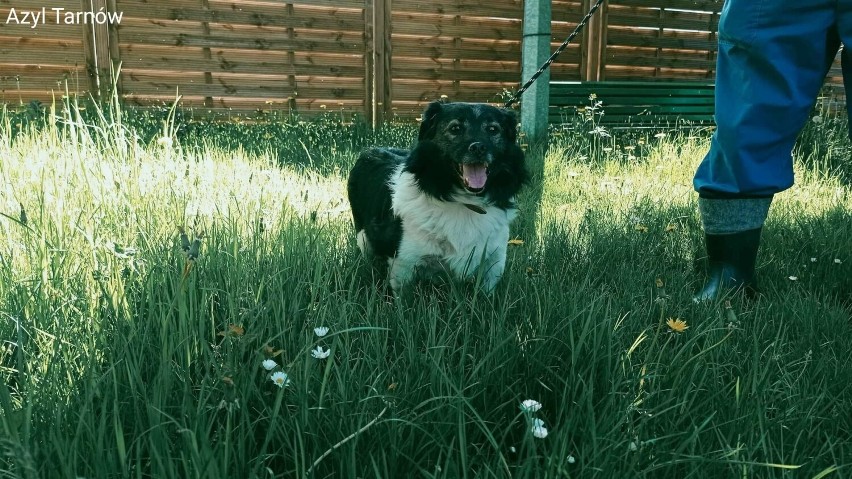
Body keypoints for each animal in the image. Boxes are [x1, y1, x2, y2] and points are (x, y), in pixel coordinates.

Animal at [346, 101, 524, 292]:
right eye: (455, 128)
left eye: (492, 129)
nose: (478, 147)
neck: (465, 201)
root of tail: (371, 150)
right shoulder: (403, 262)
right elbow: (403, 296)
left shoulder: (494, 259)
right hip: (363, 237)